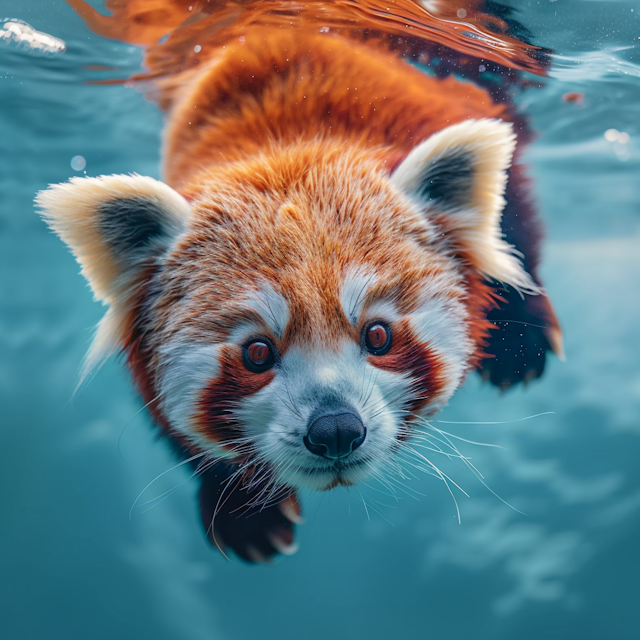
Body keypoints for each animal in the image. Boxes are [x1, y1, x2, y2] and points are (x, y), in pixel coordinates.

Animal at [38, 0, 560, 560]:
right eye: (257, 353)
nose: (335, 430)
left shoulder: (442, 109)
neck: (285, 142)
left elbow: (511, 226)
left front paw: (518, 336)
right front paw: (243, 507)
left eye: (379, 336)